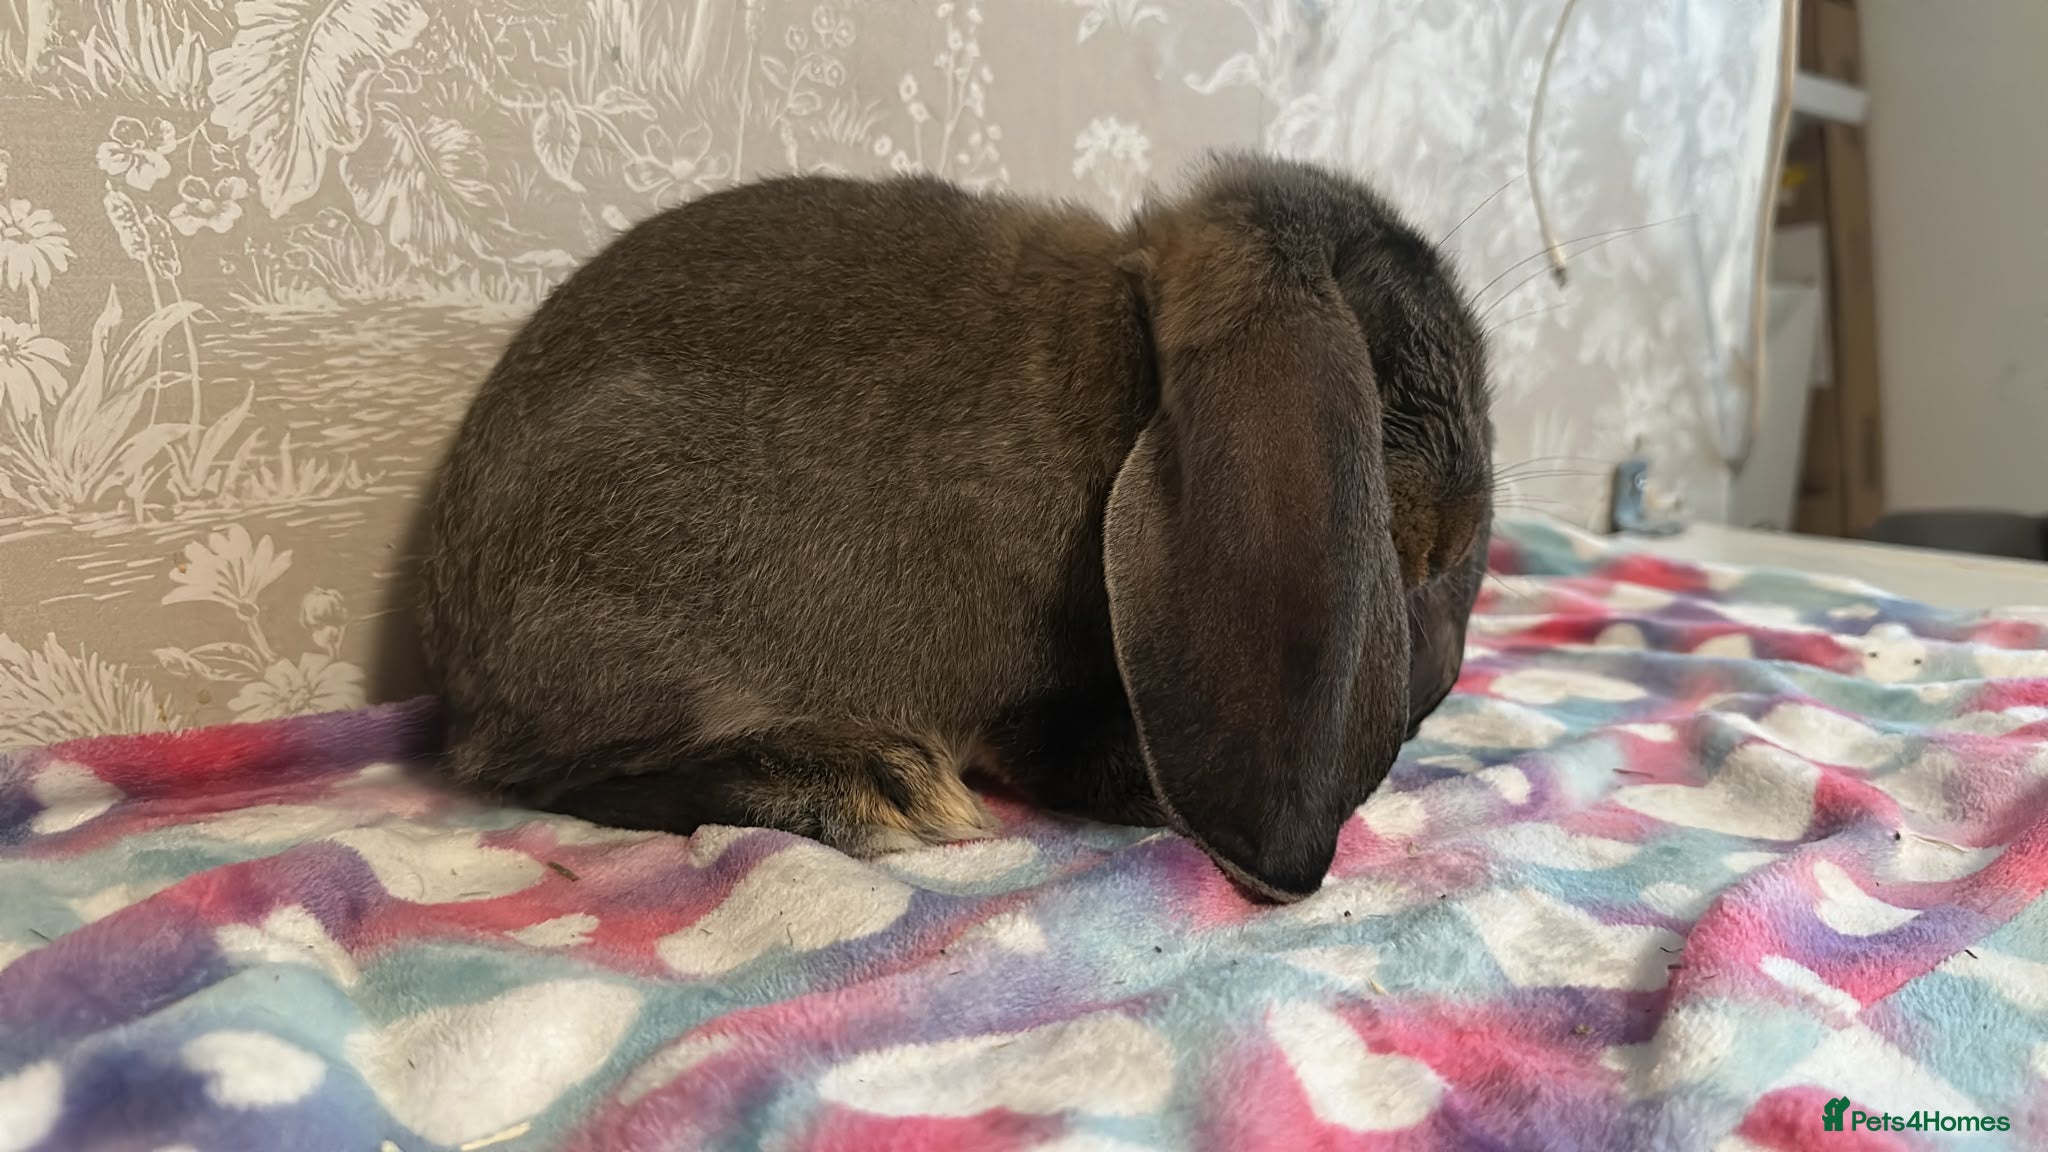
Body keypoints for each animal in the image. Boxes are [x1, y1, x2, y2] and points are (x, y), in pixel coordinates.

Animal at [417, 153, 1494, 902]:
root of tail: (460, 652)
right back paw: (873, 787)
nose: (1455, 534)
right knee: (543, 775)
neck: (1126, 361)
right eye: (1383, 381)